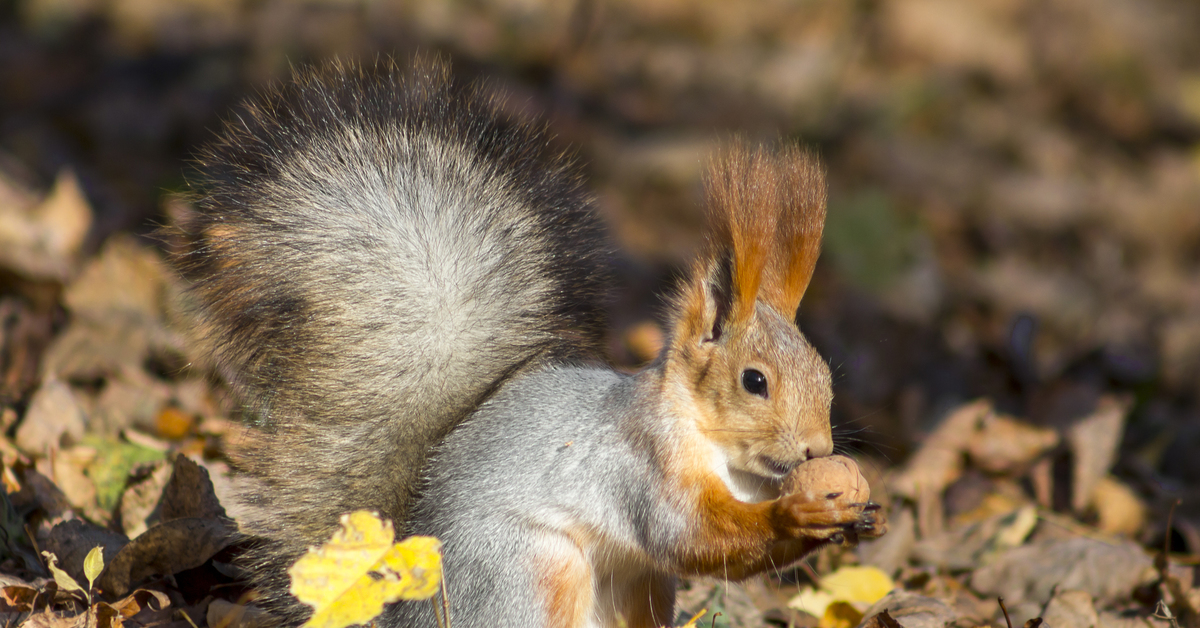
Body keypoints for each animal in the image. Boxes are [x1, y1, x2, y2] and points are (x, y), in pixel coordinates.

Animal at [177, 60, 888, 628]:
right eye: (755, 381)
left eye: (826, 377)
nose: (817, 450)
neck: (713, 446)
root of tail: (411, 615)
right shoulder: (640, 469)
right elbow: (696, 539)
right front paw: (799, 515)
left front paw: (861, 514)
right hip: (536, 569)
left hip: (635, 587)